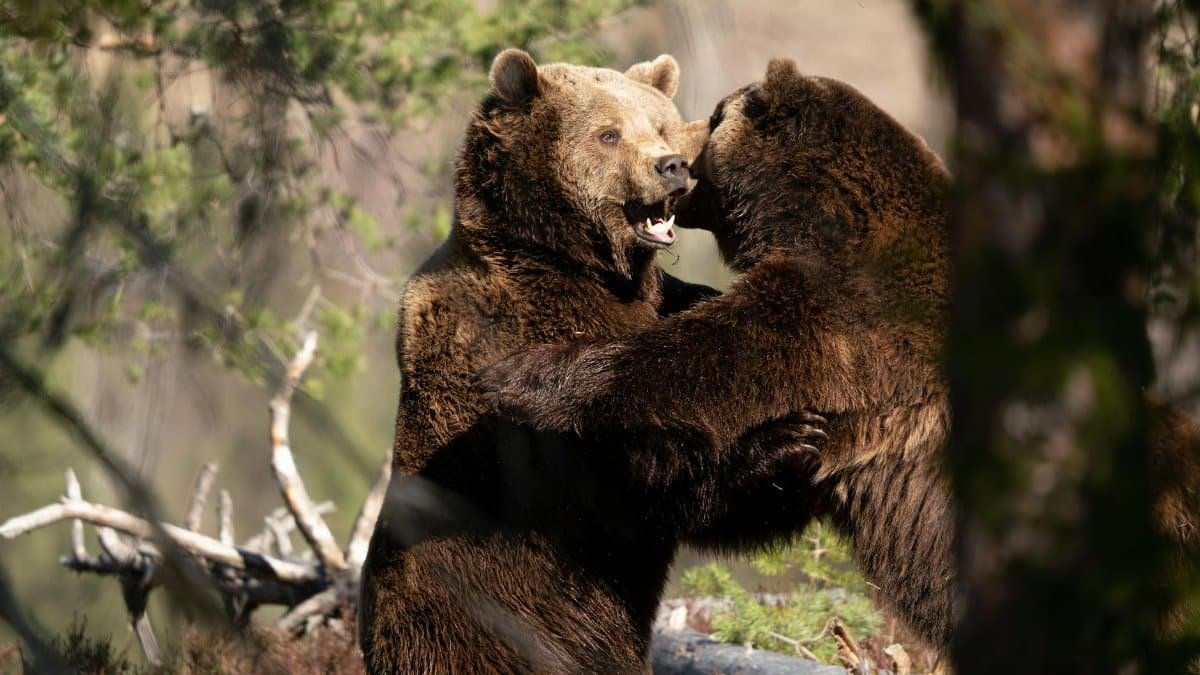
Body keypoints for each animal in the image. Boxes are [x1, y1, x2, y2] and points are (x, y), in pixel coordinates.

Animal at [357, 49, 819, 674]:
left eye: (661, 125)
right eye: (608, 133)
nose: (672, 166)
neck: (578, 274)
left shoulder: (666, 305)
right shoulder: (487, 350)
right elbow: (615, 476)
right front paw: (779, 442)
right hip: (471, 629)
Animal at [476, 57, 1200, 654]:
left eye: (714, 117)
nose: (674, 155)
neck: (811, 213)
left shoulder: (851, 318)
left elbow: (709, 356)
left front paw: (520, 376)